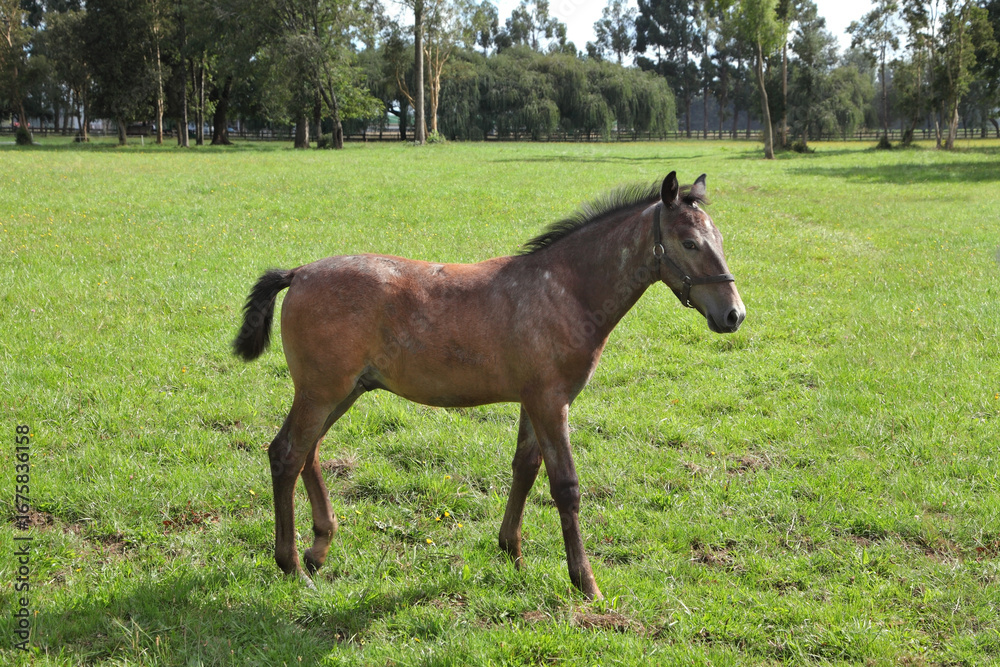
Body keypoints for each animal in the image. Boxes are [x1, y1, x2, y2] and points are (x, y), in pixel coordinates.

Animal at [232, 171, 745, 600]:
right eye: (690, 243)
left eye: (718, 238)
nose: (733, 315)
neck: (566, 291)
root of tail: (299, 273)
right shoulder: (550, 402)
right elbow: (565, 486)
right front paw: (586, 583)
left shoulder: (533, 401)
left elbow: (524, 468)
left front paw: (512, 553)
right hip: (322, 391)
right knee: (286, 454)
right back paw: (292, 565)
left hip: (344, 390)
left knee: (309, 453)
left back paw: (319, 548)